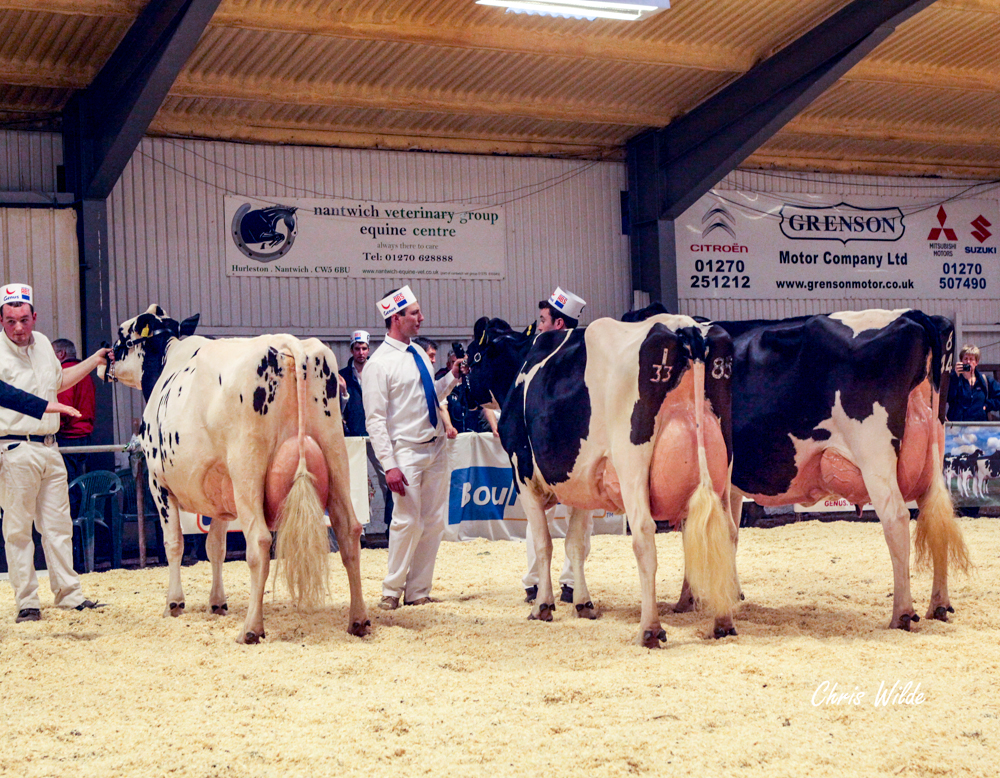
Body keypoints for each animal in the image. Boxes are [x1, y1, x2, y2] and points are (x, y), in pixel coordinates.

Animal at [102, 304, 372, 644]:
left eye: (122, 333)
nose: (106, 356)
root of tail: (288, 344)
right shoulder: (220, 489)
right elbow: (214, 547)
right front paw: (217, 602)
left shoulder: (158, 483)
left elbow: (174, 544)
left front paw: (173, 604)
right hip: (335, 455)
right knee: (350, 531)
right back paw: (358, 620)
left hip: (247, 471)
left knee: (258, 542)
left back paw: (251, 629)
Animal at [464, 312, 740, 644]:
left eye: (471, 357)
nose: (461, 394)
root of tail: (685, 327)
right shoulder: (582, 483)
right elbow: (575, 545)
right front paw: (583, 604)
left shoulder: (523, 475)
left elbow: (544, 543)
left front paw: (543, 605)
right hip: (722, 465)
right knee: (727, 533)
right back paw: (722, 620)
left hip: (632, 466)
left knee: (644, 536)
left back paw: (650, 629)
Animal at [656, 306, 968, 628]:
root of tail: (912, 314)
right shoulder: (728, 482)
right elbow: (729, 532)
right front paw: (728, 593)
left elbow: (695, 531)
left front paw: (688, 599)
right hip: (932, 455)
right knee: (936, 514)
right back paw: (939, 604)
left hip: (874, 456)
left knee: (896, 519)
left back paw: (902, 613)